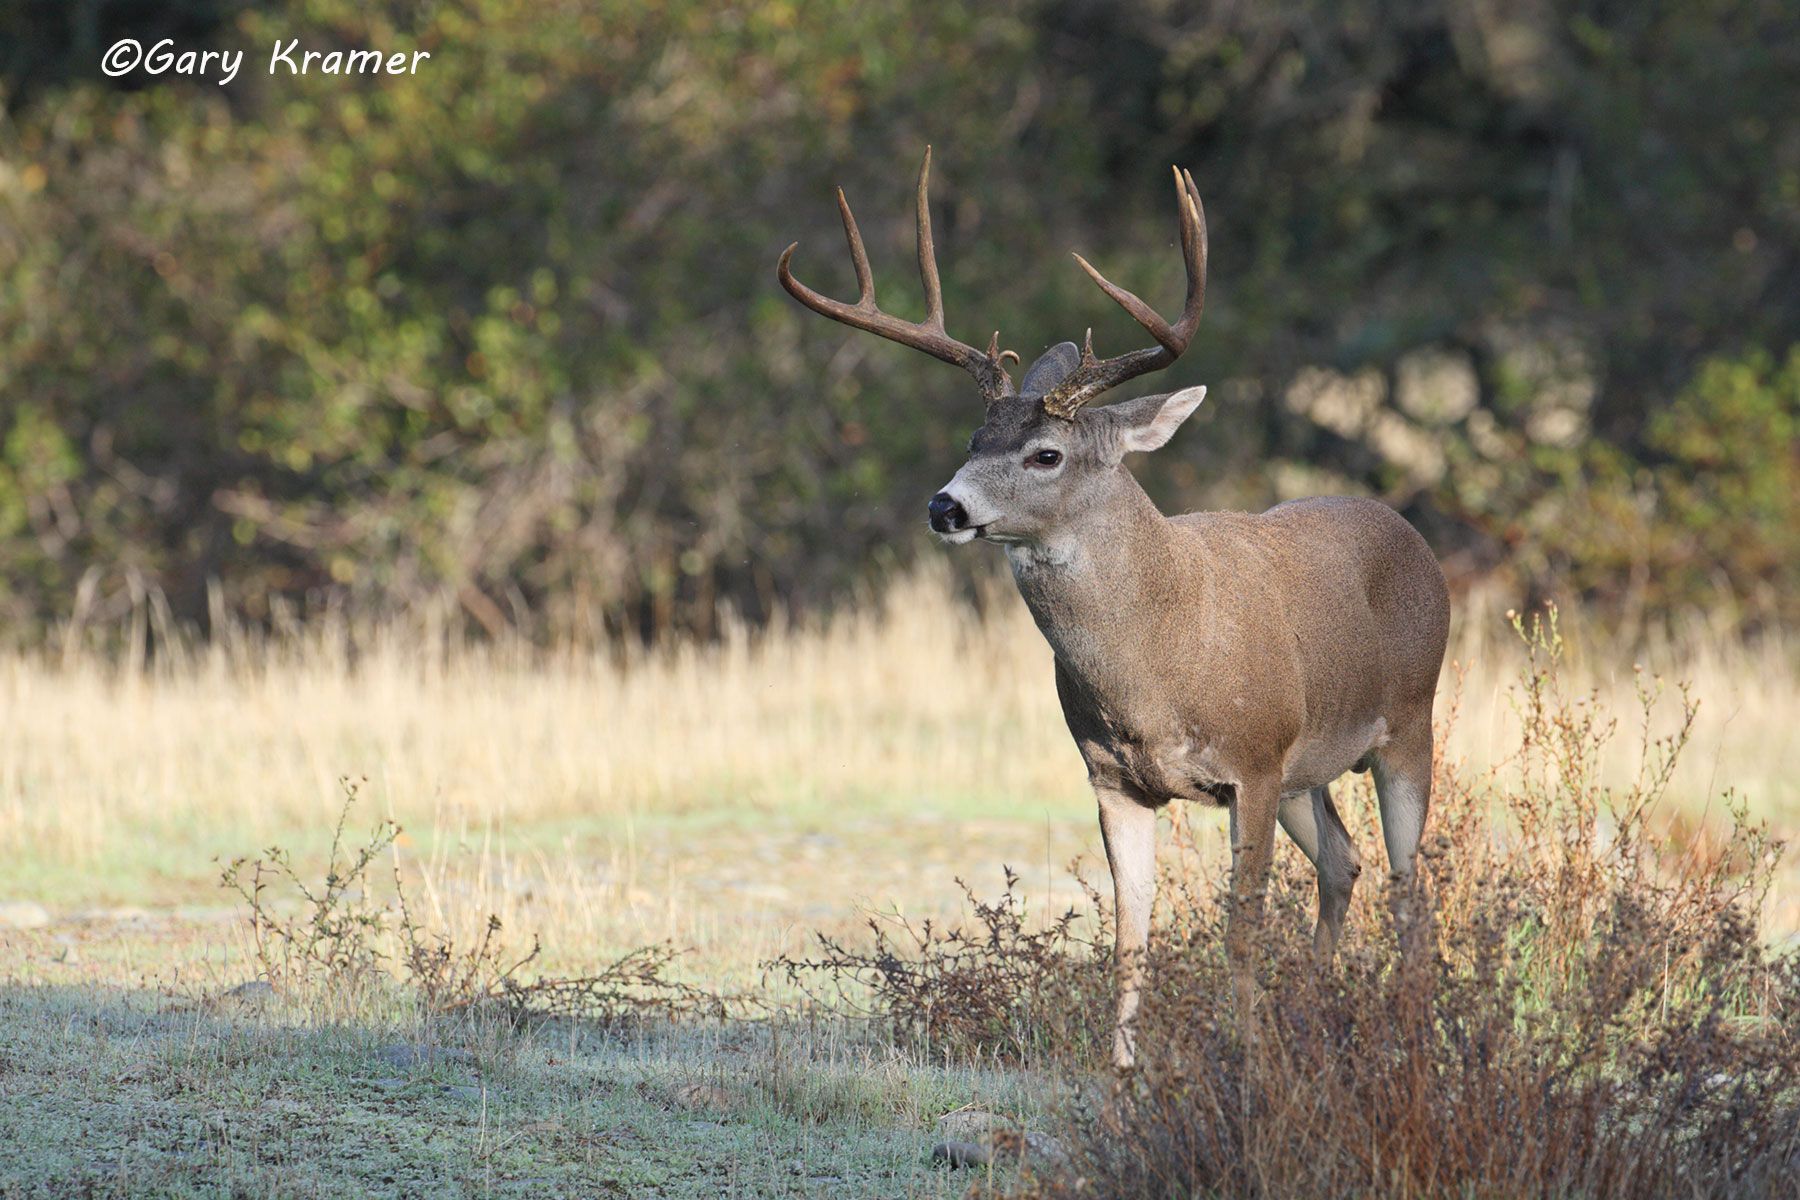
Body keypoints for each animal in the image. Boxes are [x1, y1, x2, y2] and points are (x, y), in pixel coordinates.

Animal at [778, 148, 1450, 1069]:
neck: (1159, 660)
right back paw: (1315, 1017)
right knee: (1344, 865)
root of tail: (1415, 536)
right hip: (1312, 766)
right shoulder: (1113, 777)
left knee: (1410, 883)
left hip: (1408, 720)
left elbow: (1241, 926)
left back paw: (1405, 1038)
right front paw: (1122, 1068)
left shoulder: (1255, 759)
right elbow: (1132, 931)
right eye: (972, 442)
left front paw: (1244, 1059)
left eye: (1045, 453)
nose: (944, 507)